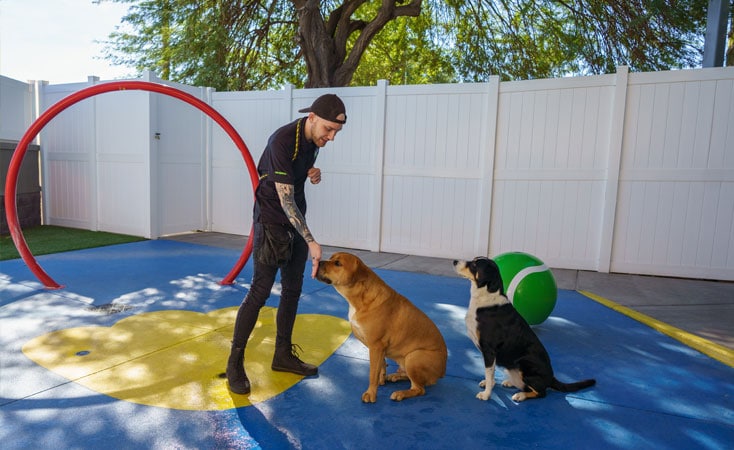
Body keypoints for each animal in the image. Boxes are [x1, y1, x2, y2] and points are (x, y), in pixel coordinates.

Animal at [316, 251, 448, 402]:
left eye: (337, 263)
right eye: (330, 258)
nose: (318, 261)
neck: (361, 299)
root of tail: (442, 371)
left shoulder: (376, 345)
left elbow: (372, 372)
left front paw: (371, 393)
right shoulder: (378, 347)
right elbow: (381, 365)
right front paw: (381, 379)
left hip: (413, 357)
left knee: (419, 389)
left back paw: (401, 393)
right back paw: (396, 376)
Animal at [454, 256, 600, 400]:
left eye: (474, 265)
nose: (454, 261)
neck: (486, 298)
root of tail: (551, 377)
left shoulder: (489, 350)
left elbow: (489, 373)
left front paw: (486, 394)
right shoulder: (491, 354)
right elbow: (491, 373)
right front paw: (489, 385)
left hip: (524, 364)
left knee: (541, 392)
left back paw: (520, 395)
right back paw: (510, 382)